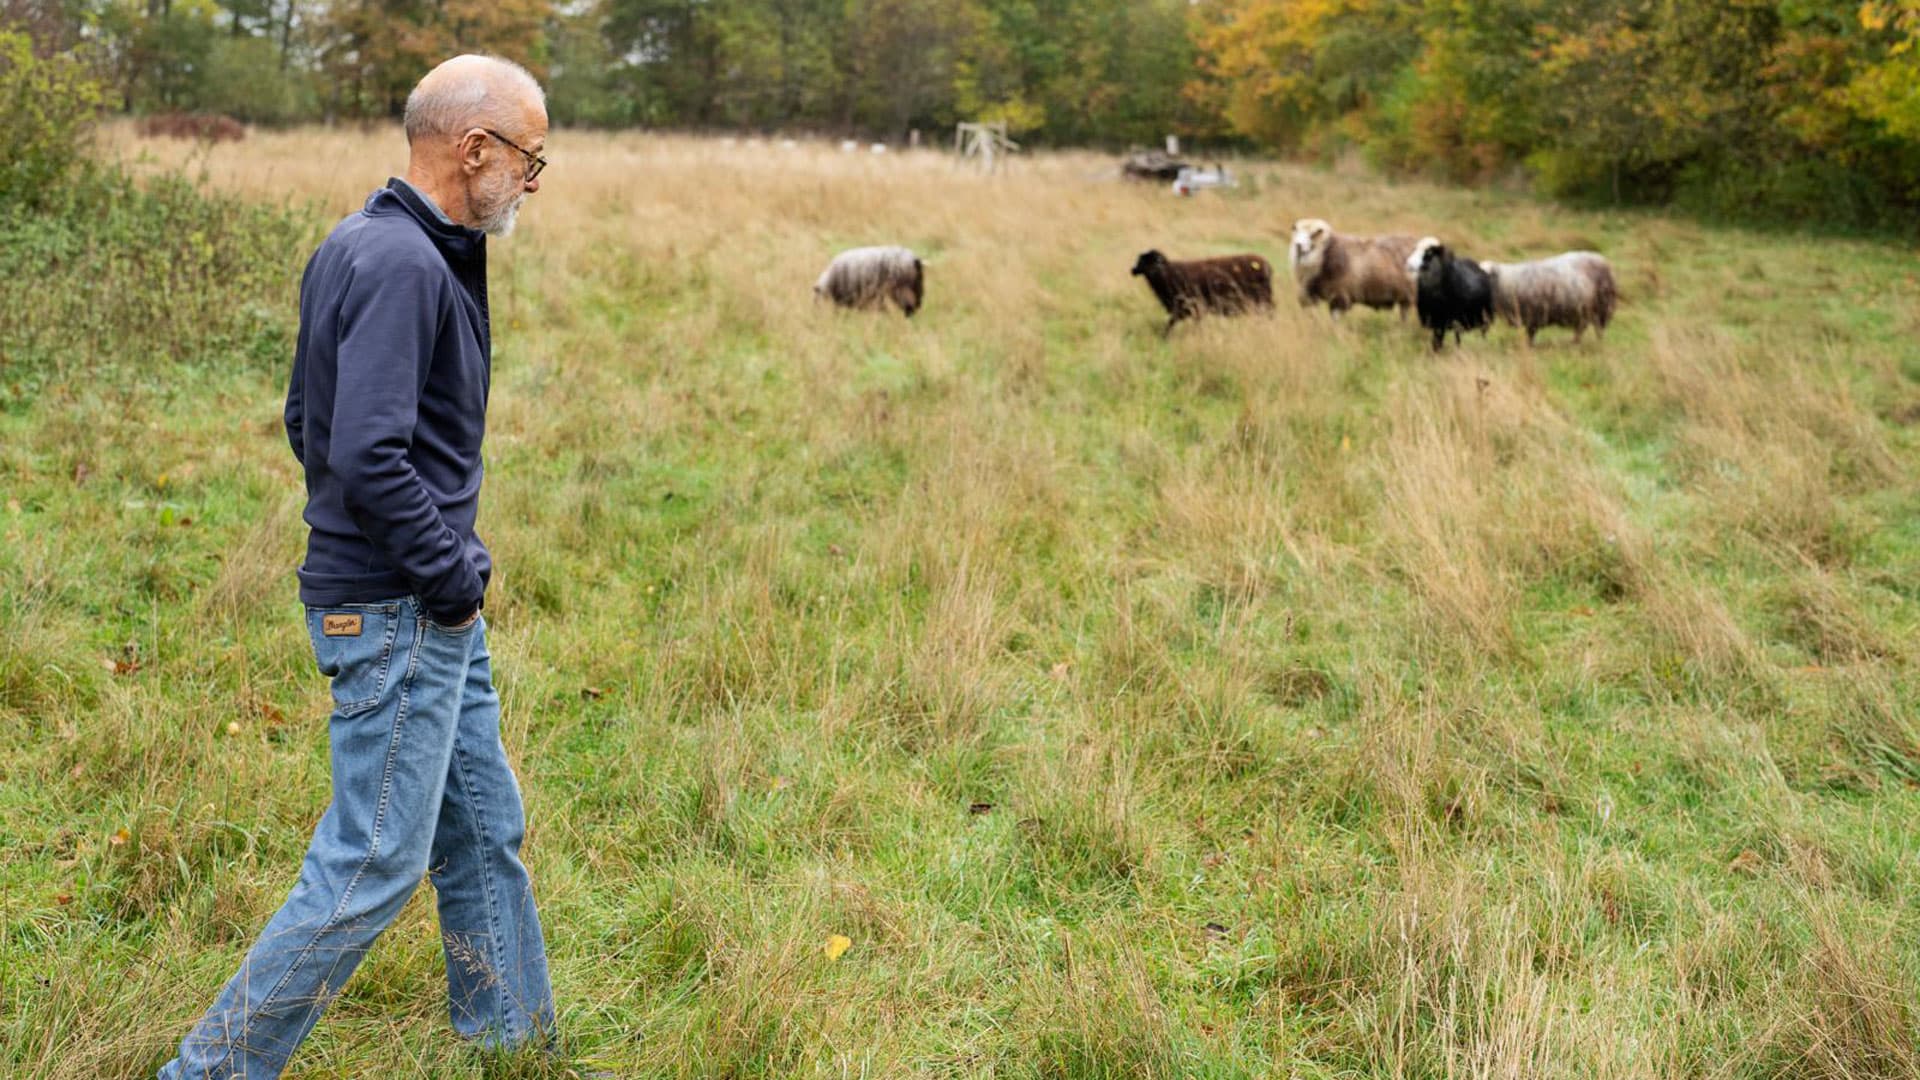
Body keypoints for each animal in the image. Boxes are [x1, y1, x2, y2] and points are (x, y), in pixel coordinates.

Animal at [1121, 249, 1274, 334]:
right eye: (1141, 261)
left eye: (1151, 261)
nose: (1133, 270)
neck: (1169, 274)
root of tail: (1266, 264)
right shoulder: (1182, 309)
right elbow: (1171, 324)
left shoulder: (1194, 307)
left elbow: (1174, 324)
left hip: (1263, 300)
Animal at [1282, 217, 1420, 315]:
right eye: (1296, 232)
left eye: (1314, 234)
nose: (1298, 245)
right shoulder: (1310, 296)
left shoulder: (1339, 298)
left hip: (1410, 296)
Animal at [1474, 249, 1612, 342]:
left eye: (1485, 274)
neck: (1505, 282)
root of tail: (1600, 258)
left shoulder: (1533, 316)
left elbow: (1530, 335)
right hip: (1585, 311)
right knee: (1582, 327)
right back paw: (1575, 342)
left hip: (1601, 307)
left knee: (1597, 329)